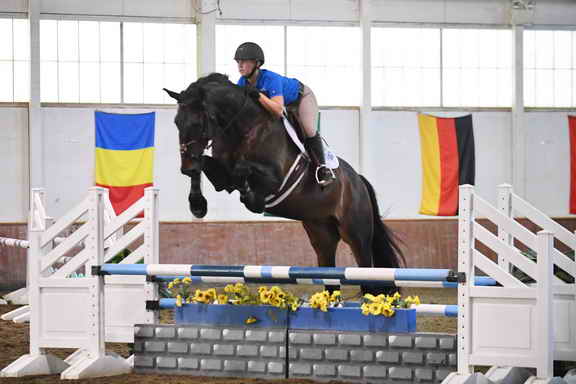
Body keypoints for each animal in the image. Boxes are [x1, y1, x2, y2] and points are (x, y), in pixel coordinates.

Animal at [164, 73, 402, 294]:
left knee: (367, 275)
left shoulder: (275, 178)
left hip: (356, 234)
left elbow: (242, 170)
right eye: (176, 122)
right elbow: (207, 166)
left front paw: (252, 199)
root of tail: (358, 181)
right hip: (321, 234)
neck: (242, 128)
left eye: (196, 123)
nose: (185, 167)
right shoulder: (220, 172)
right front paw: (197, 204)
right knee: (330, 278)